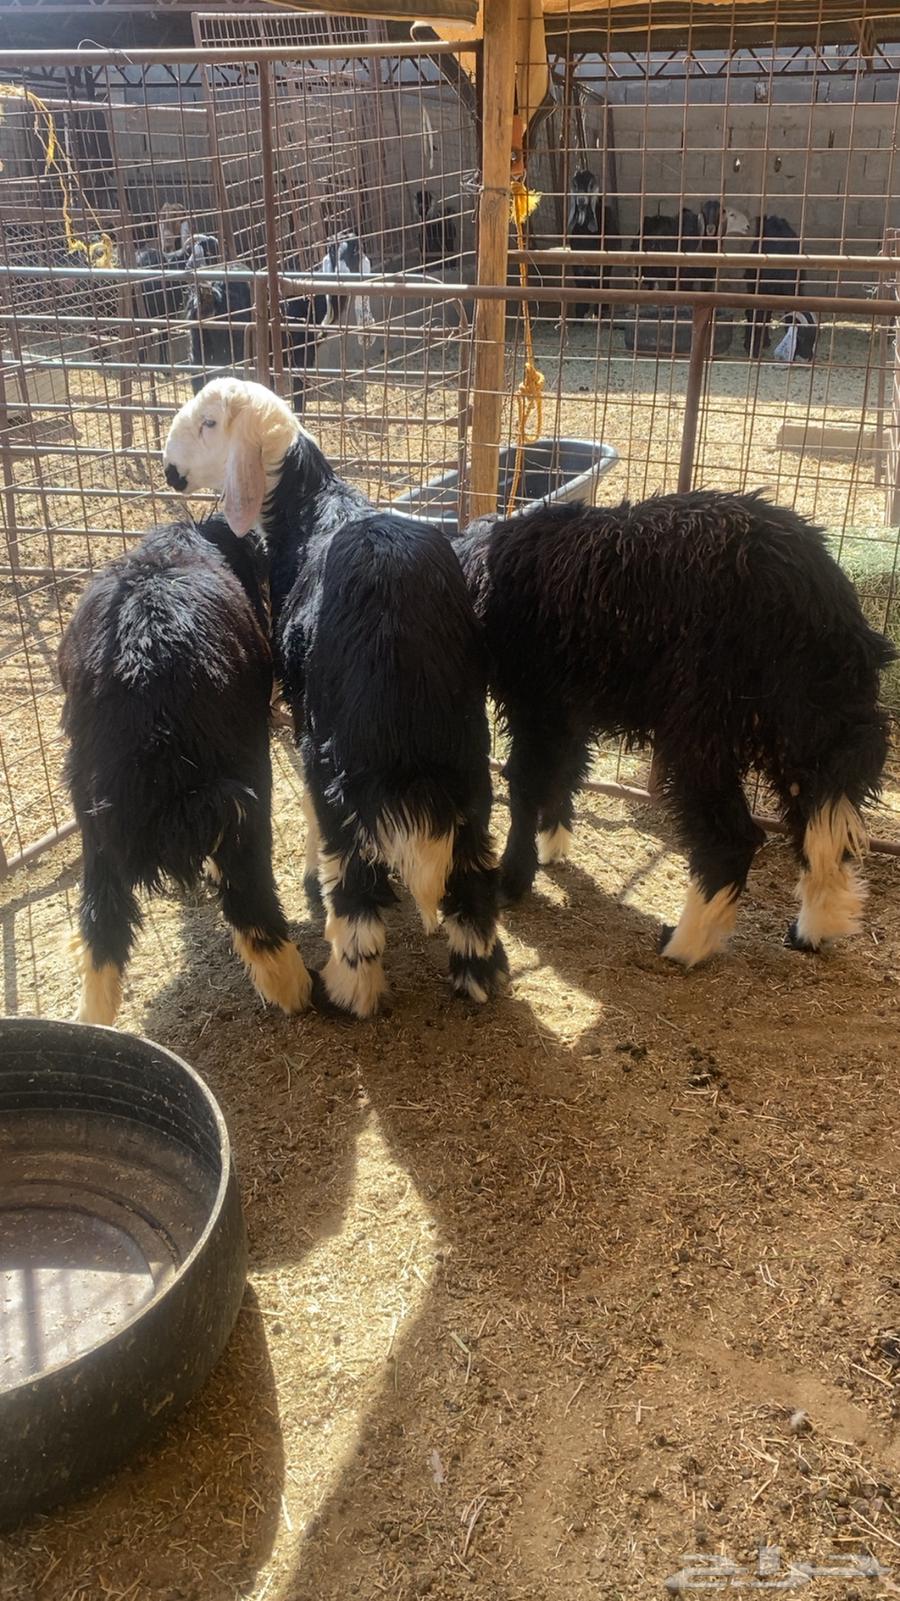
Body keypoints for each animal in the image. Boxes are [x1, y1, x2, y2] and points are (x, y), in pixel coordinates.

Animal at [59, 515, 312, 1027]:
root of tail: (143, 667)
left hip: (91, 804)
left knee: (102, 916)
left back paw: (93, 1015)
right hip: (245, 777)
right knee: (250, 893)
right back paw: (295, 987)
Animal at [163, 378, 507, 1018]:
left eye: (210, 423)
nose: (170, 470)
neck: (308, 505)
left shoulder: (303, 718)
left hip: (340, 759)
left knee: (355, 891)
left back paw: (349, 990)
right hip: (466, 755)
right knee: (474, 872)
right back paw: (477, 974)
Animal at [456, 490, 894, 966]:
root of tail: (821, 602)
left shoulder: (537, 700)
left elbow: (525, 785)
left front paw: (512, 879)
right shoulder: (570, 705)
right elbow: (567, 773)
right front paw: (553, 845)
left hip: (704, 725)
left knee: (732, 838)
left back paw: (685, 945)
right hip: (811, 730)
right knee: (824, 825)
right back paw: (813, 930)